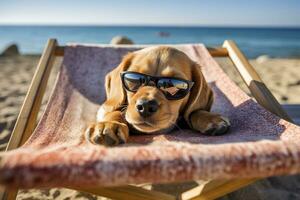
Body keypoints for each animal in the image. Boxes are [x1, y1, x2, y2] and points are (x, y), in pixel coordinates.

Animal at [85, 46, 231, 147]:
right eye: (134, 79)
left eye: (175, 86)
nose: (145, 106)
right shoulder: (105, 109)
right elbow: (115, 112)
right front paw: (109, 125)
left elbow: (193, 111)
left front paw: (209, 118)